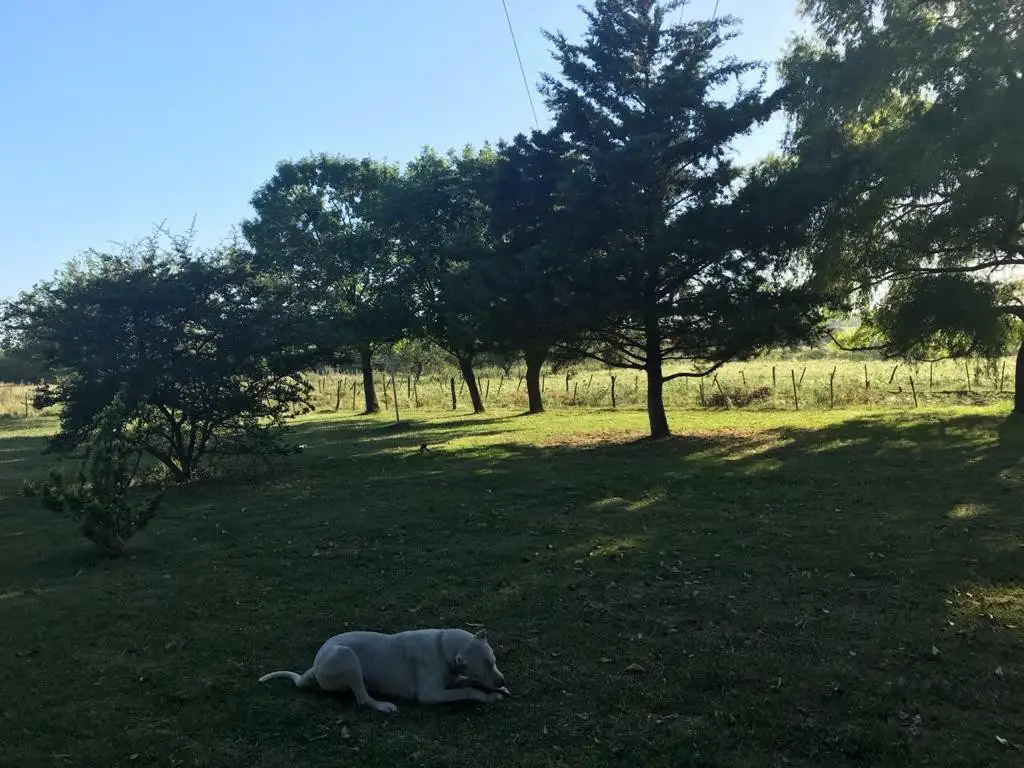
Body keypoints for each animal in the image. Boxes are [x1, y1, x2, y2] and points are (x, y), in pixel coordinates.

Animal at [258, 626, 509, 716]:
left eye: (493, 661)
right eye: (482, 669)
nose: (500, 681)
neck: (443, 645)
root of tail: (314, 665)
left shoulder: (451, 679)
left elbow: (464, 683)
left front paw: (500, 691)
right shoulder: (431, 695)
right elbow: (468, 691)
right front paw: (488, 697)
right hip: (345, 657)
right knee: (362, 698)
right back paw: (383, 705)